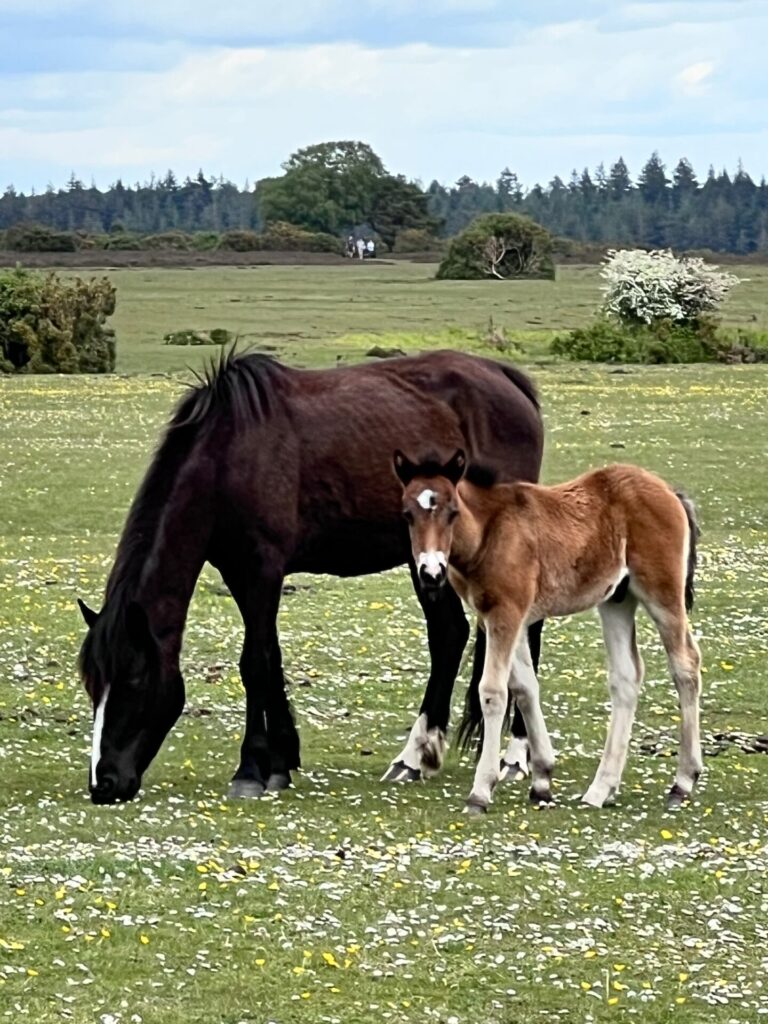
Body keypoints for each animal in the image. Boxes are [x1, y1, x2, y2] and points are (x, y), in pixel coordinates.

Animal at [78, 350, 544, 805]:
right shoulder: (242, 574)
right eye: (92, 685)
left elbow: (254, 664)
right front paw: (281, 761)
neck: (227, 455)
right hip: (428, 560)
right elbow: (271, 658)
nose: (104, 783)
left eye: (134, 681)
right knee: (449, 634)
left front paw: (250, 770)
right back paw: (415, 755)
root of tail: (504, 378)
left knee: (525, 631)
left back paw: (517, 755)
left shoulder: (262, 569)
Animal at [393, 450, 703, 814]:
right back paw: (601, 789)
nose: (431, 573)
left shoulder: (507, 613)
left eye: (452, 512)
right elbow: (525, 687)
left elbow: (493, 692)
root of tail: (670, 492)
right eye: (407, 515)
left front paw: (481, 791)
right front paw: (542, 779)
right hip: (617, 600)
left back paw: (683, 782)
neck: (489, 532)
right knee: (626, 676)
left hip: (662, 593)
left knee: (685, 664)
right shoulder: (503, 617)